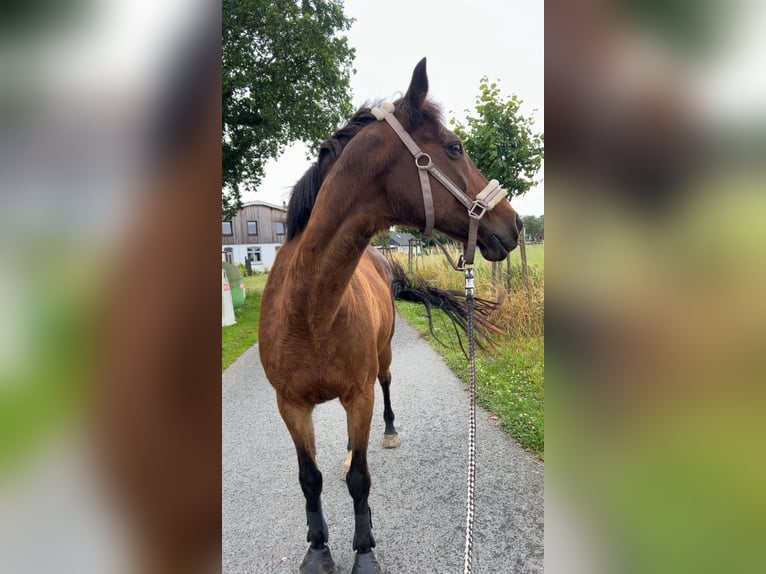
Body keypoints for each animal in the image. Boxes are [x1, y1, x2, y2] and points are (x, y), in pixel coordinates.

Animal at [258, 58, 523, 574]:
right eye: (454, 147)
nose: (516, 224)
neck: (309, 312)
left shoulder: (358, 396)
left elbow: (360, 480)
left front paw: (364, 552)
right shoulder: (290, 406)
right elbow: (310, 478)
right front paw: (318, 548)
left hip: (381, 363)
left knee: (384, 392)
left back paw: (390, 431)